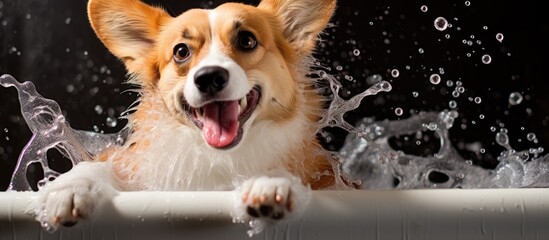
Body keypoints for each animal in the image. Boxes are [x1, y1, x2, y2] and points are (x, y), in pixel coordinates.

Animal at [35, 0, 346, 230]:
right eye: (181, 51)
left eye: (246, 40)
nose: (209, 78)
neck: (220, 158)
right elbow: (100, 165)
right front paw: (71, 187)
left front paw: (272, 182)